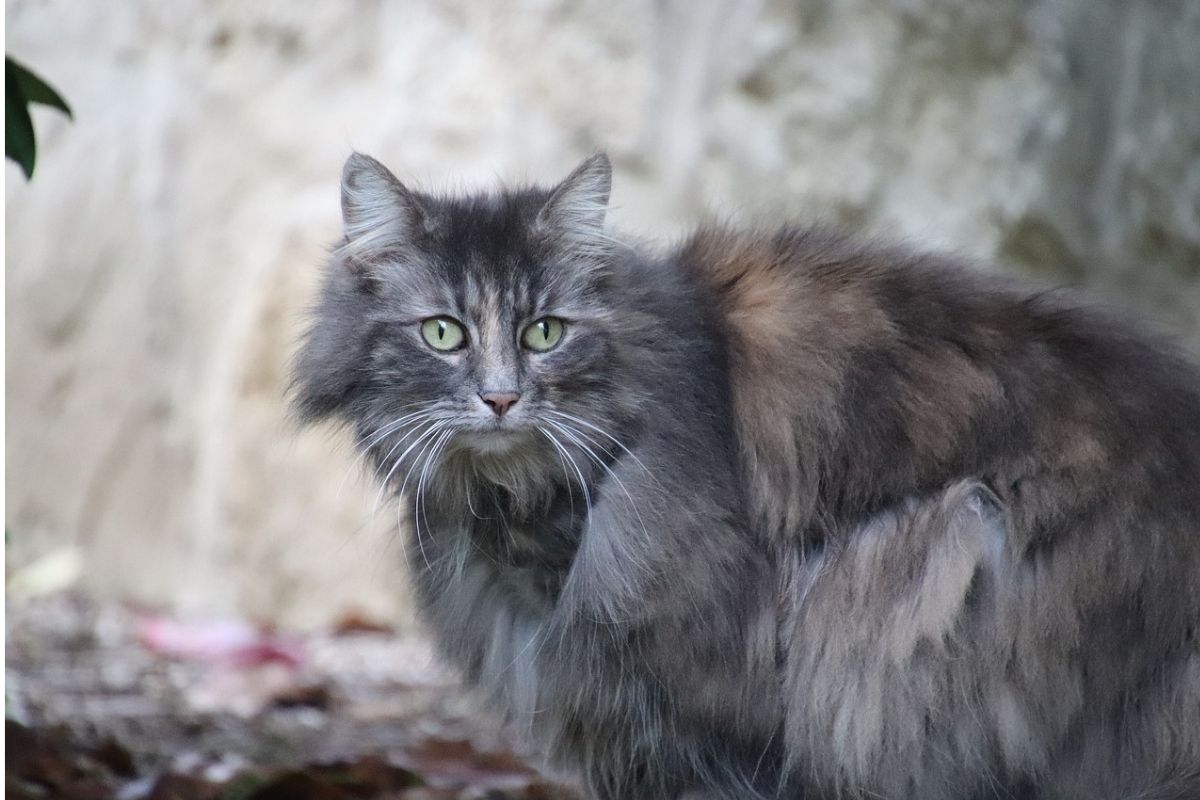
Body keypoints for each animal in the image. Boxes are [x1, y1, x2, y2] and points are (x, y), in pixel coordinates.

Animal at [290, 153, 1200, 796]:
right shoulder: (620, 725)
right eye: (443, 333)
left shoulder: (720, 718)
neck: (525, 523)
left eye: (545, 331)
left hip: (933, 567)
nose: (502, 398)